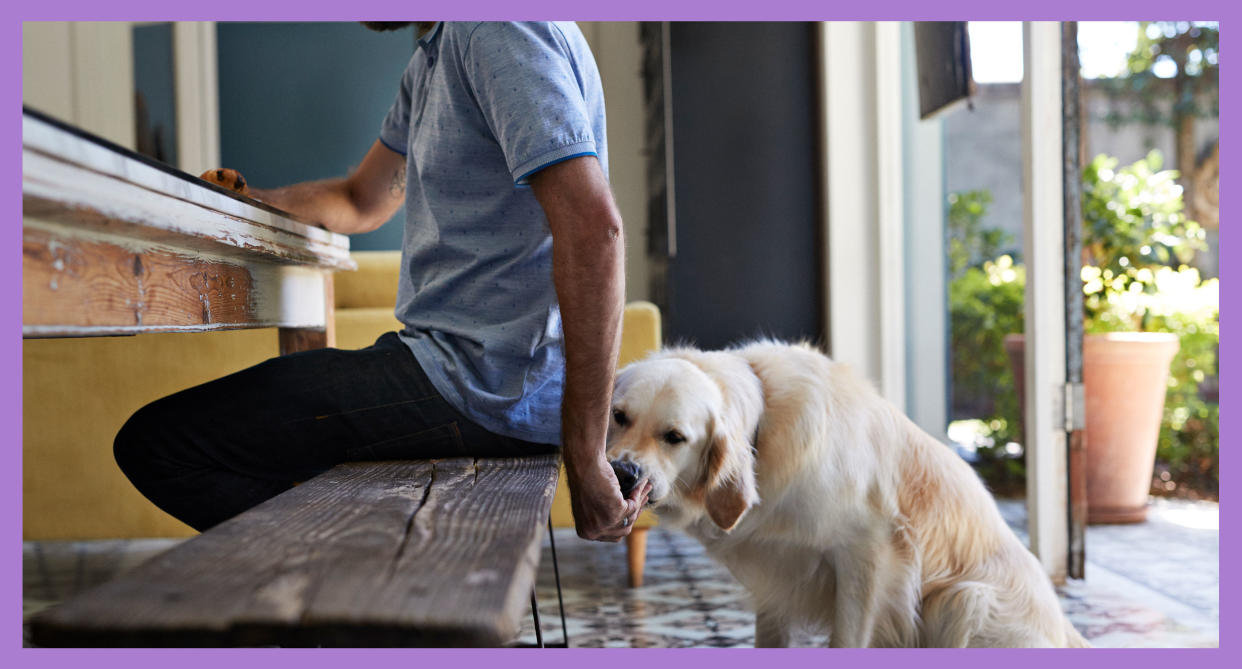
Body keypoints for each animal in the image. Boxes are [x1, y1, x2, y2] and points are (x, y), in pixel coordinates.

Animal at [606, 342, 1092, 645]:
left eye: (674, 437)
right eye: (618, 416)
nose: (623, 473)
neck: (766, 427)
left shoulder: (869, 554)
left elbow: (848, 639)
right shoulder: (775, 573)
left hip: (965, 600)